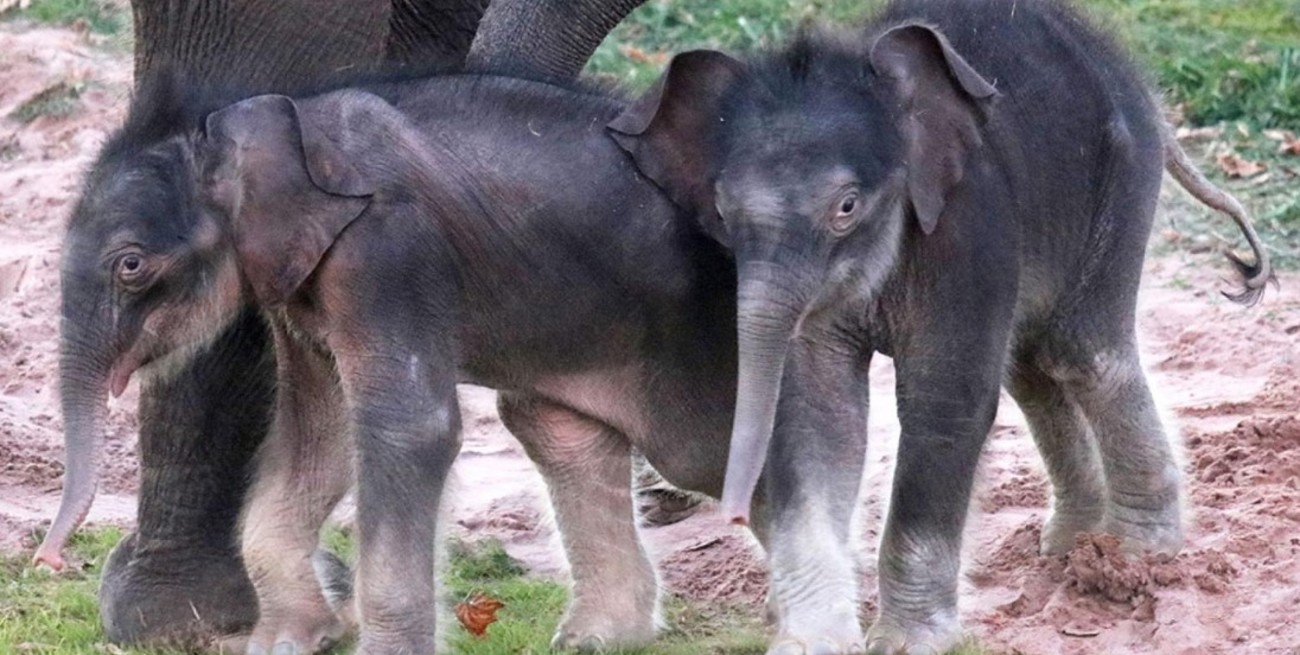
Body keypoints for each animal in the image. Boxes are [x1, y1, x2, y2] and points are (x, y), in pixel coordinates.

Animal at [605, 0, 1272, 653]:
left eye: (847, 207)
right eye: (722, 213)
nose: (734, 513)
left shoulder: (967, 224)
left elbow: (944, 402)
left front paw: (907, 643)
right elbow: (820, 413)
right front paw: (811, 641)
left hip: (1122, 177)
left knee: (1083, 352)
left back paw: (1136, 556)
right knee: (1032, 367)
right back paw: (1070, 548)